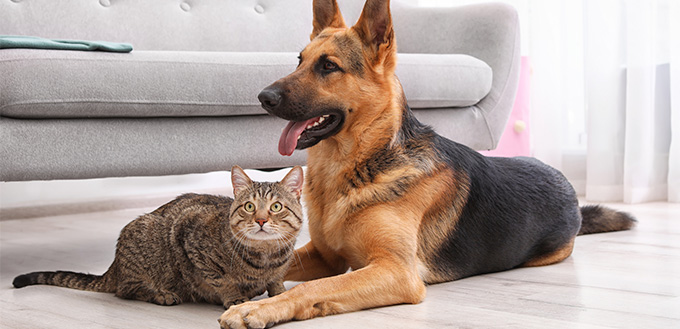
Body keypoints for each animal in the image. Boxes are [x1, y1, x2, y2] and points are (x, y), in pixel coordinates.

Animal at [11, 165, 304, 308]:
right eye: (250, 207)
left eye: (276, 207)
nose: (261, 220)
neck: (265, 257)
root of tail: (113, 268)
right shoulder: (188, 234)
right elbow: (220, 279)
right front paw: (233, 297)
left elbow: (276, 281)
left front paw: (280, 292)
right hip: (144, 241)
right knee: (125, 290)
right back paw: (160, 294)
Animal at [219, 1, 636, 326]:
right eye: (300, 61)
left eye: (328, 66)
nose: (263, 97)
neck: (356, 166)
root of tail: (568, 187)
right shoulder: (325, 255)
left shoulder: (395, 271)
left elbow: (316, 286)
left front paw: (259, 308)